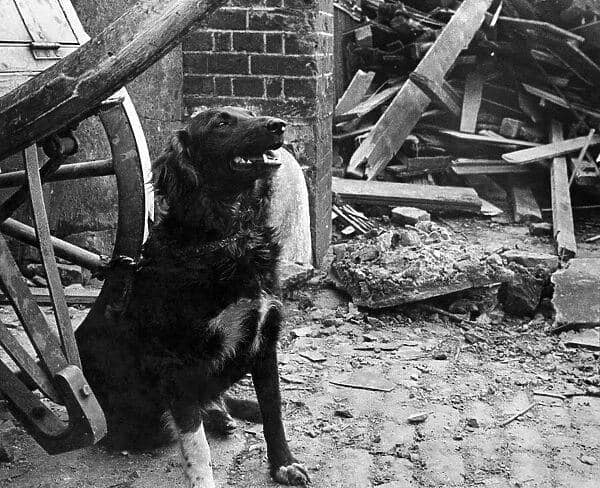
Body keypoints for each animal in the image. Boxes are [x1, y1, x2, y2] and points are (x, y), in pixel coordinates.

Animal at [76, 107, 310, 488]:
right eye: (221, 123)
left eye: (249, 113)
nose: (279, 126)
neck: (231, 237)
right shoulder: (175, 363)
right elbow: (195, 444)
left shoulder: (265, 341)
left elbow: (273, 412)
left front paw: (284, 464)